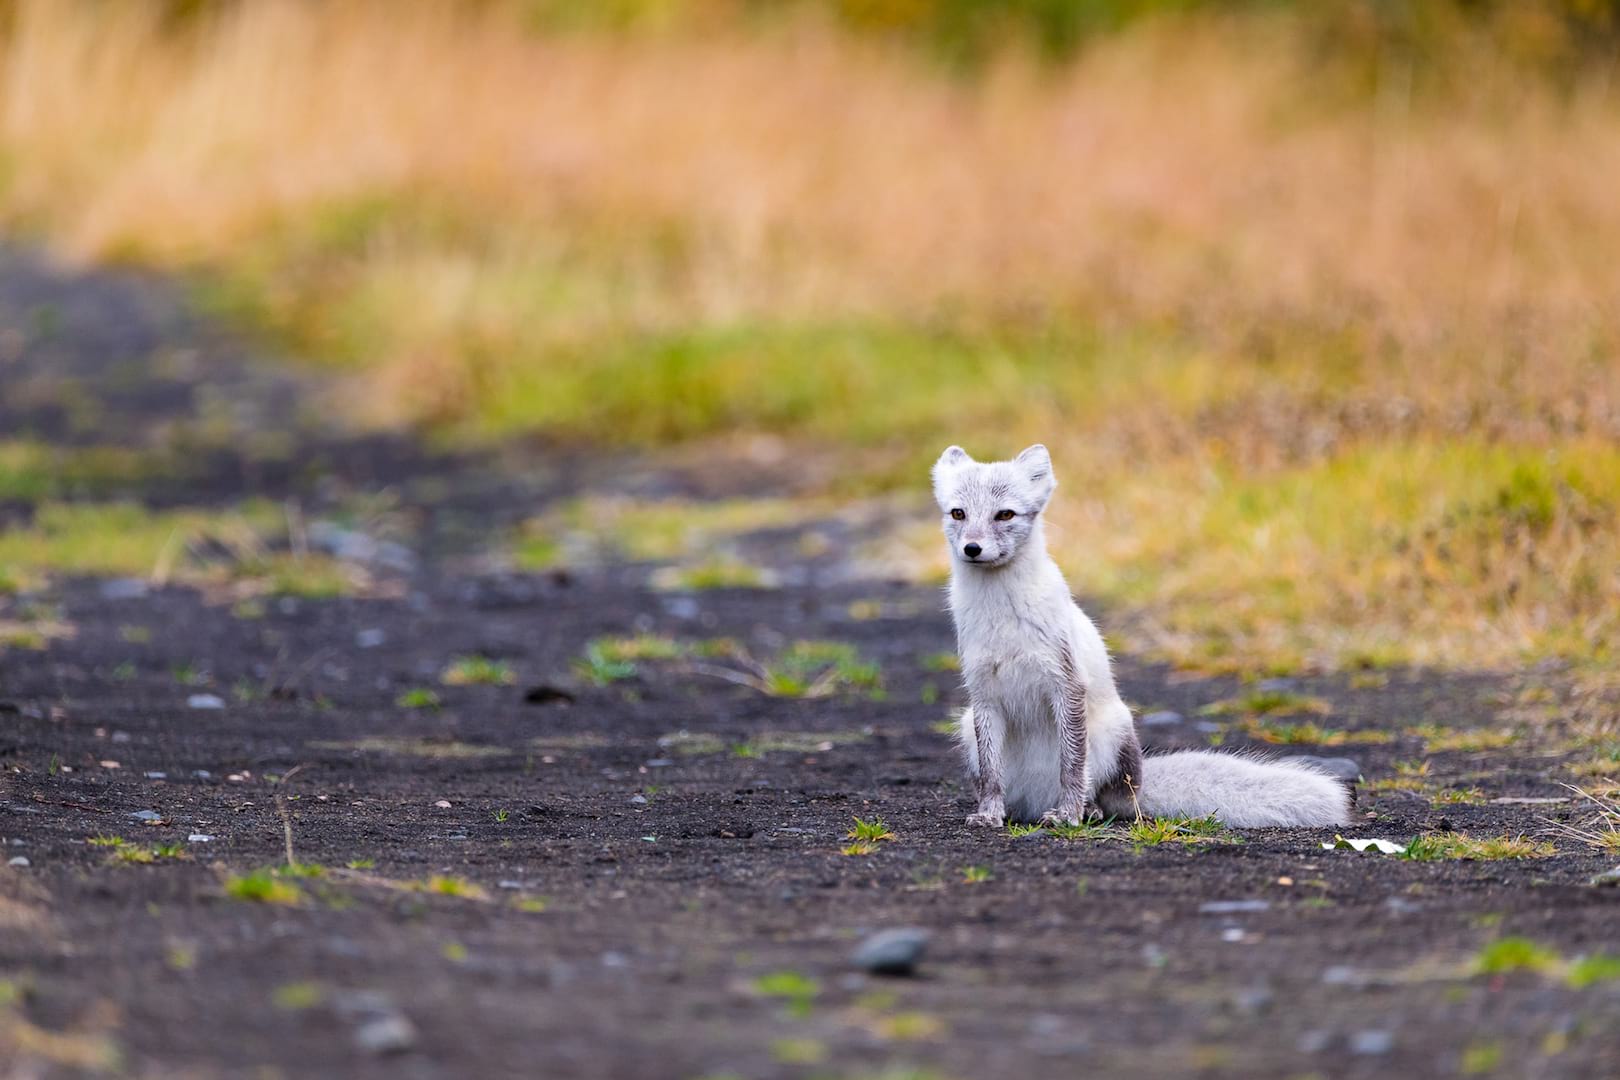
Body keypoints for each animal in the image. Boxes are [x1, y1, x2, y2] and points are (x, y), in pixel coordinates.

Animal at [933, 443, 1347, 835]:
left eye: (1005, 515)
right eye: (958, 514)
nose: (972, 548)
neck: (1001, 616)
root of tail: (1035, 801)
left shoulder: (1067, 684)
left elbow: (1072, 765)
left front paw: (1068, 815)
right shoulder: (983, 696)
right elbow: (992, 777)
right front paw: (988, 814)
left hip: (1116, 730)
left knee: (1110, 799)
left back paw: (1088, 811)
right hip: (967, 726)